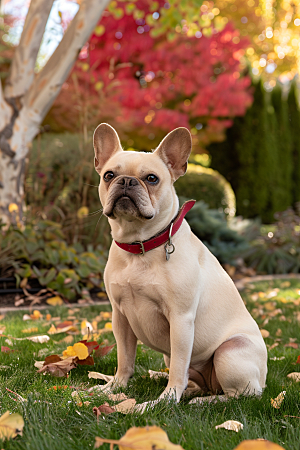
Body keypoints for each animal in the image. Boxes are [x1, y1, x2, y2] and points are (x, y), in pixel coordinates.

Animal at [94, 123, 268, 404]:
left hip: (230, 353)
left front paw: (165, 400)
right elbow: (125, 358)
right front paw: (114, 387)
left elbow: (178, 364)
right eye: (109, 175)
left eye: (151, 178)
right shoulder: (120, 317)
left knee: (241, 394)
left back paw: (202, 402)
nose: (127, 181)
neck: (140, 245)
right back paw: (187, 390)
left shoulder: (180, 319)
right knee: (197, 380)